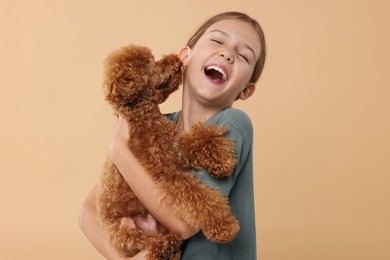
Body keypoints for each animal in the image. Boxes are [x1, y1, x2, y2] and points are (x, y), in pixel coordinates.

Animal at [96, 43, 239, 258]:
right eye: (150, 63)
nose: (176, 57)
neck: (147, 119)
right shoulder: (164, 174)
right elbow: (197, 194)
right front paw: (224, 227)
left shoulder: (177, 148)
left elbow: (199, 139)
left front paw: (222, 161)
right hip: (121, 231)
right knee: (146, 243)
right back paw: (164, 248)